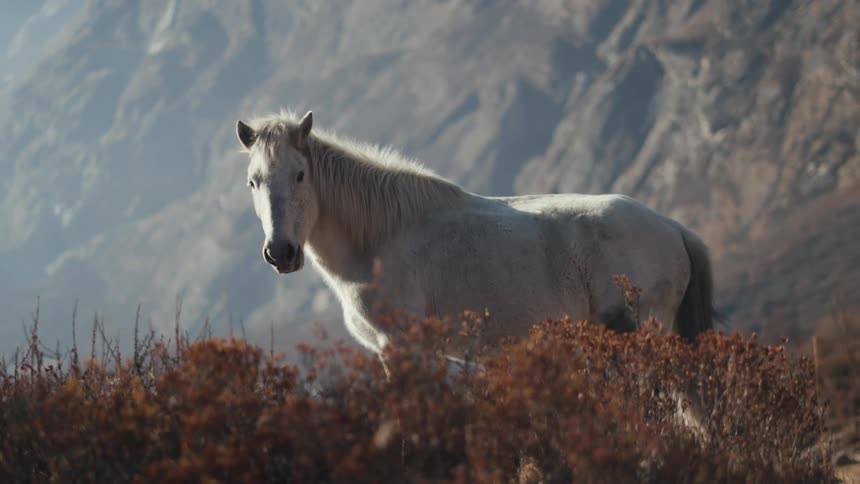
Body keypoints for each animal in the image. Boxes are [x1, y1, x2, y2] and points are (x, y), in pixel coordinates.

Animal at [234, 109, 716, 375]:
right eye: (253, 182)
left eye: (300, 175)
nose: (281, 253)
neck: (380, 239)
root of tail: (672, 227)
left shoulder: (400, 348)